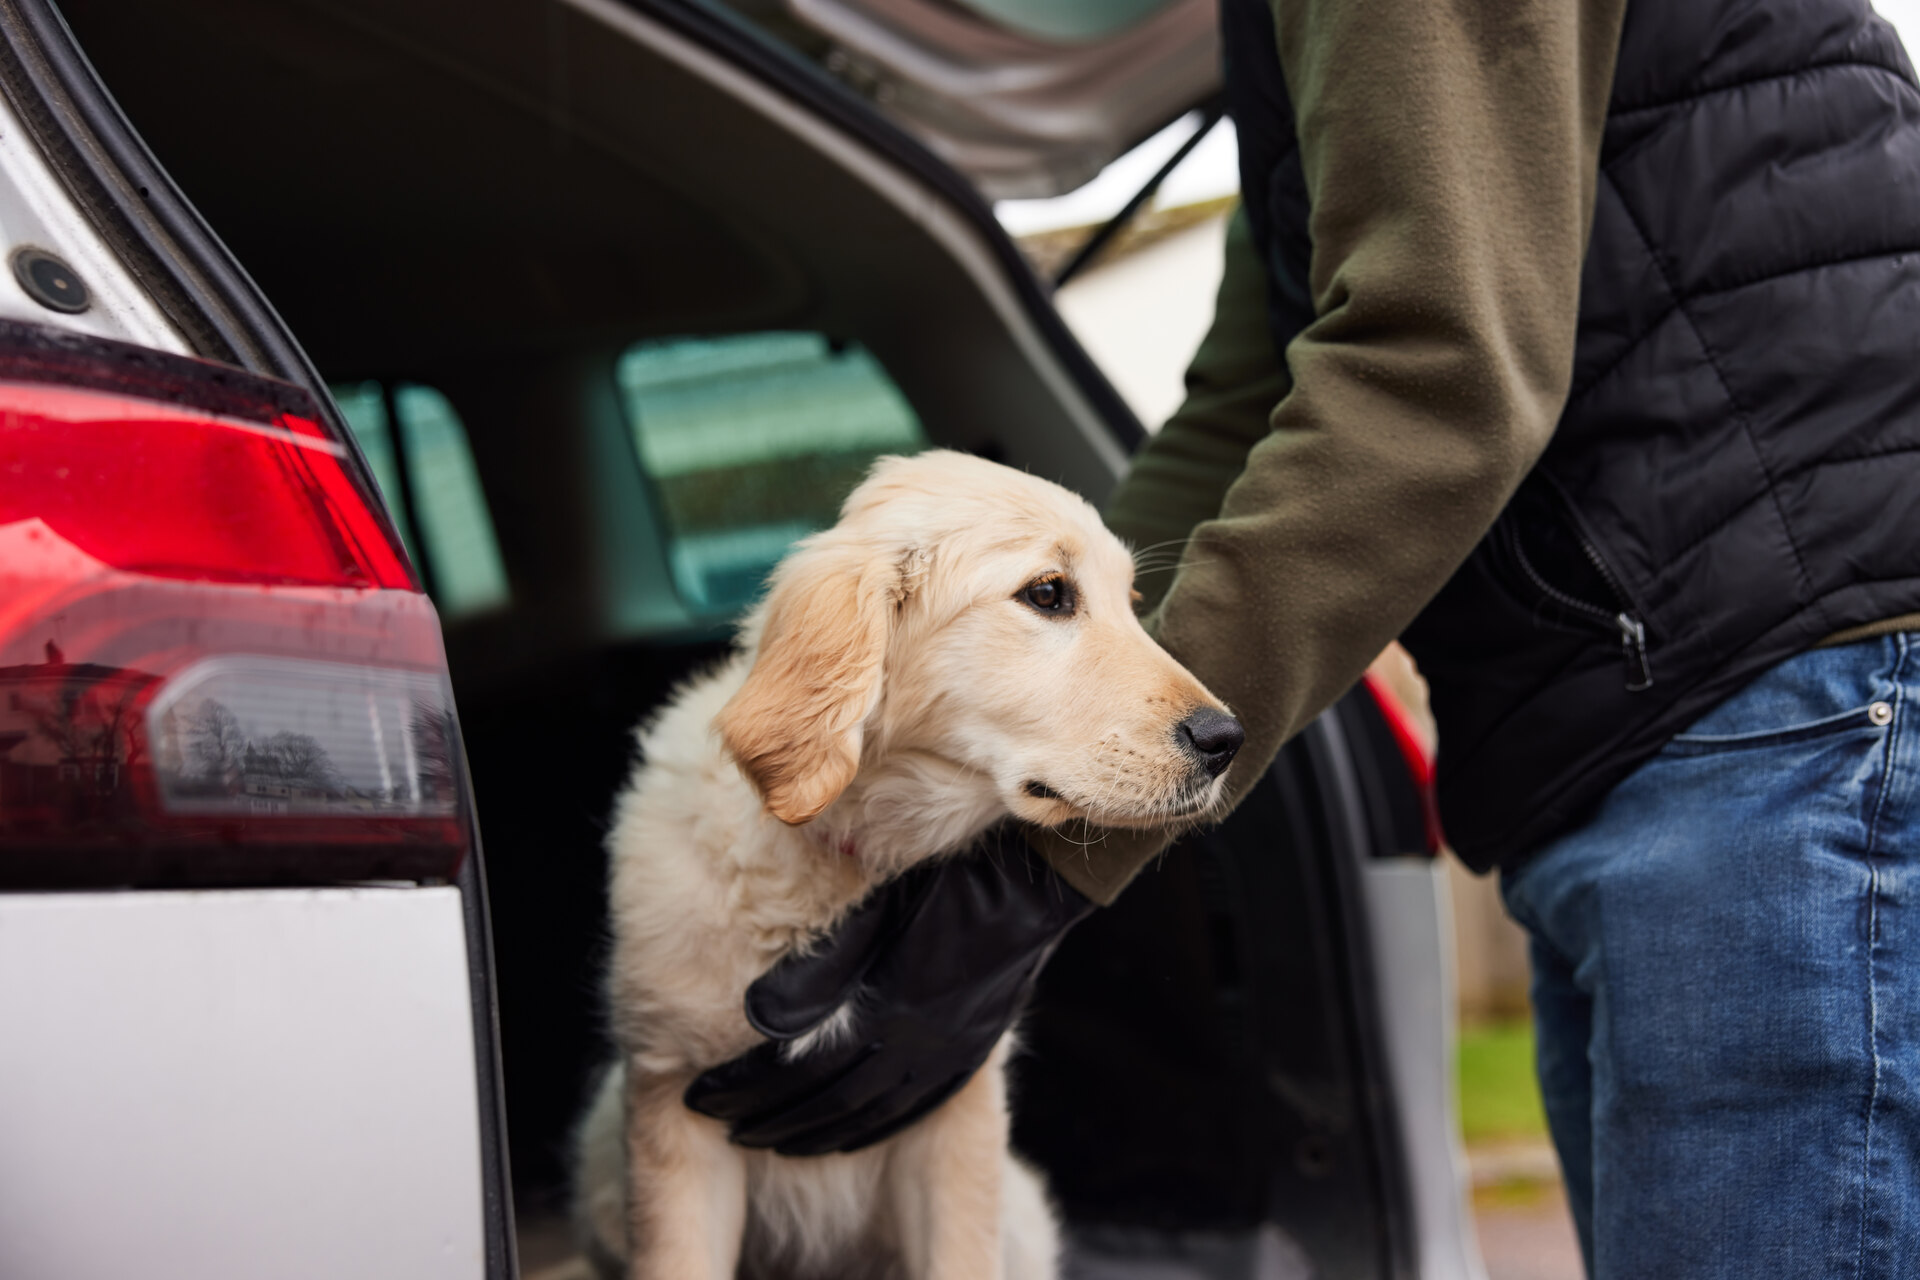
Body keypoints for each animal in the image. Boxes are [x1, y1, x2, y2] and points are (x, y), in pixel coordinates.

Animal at [568, 450, 1236, 1280]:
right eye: (1048, 594)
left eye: (1130, 602)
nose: (1229, 740)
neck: (844, 868)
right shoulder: (673, 1108)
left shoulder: (950, 1117)